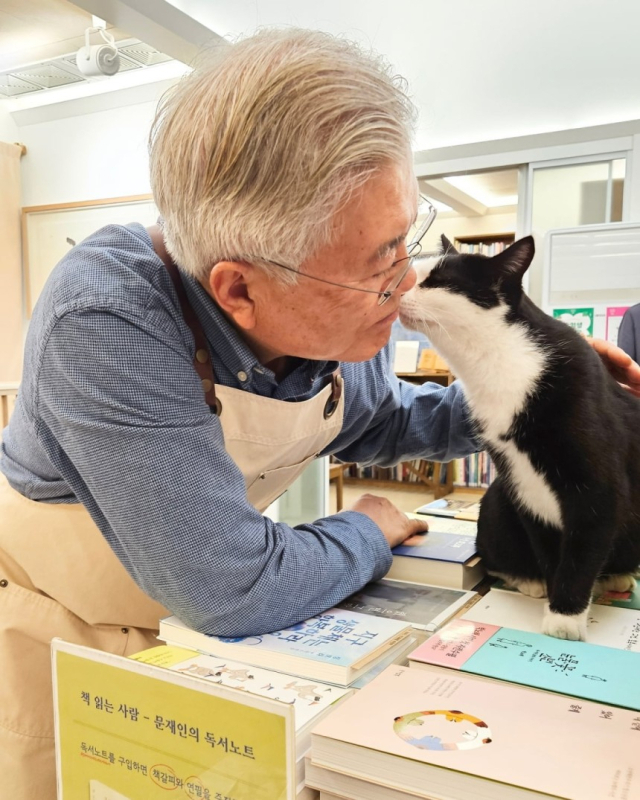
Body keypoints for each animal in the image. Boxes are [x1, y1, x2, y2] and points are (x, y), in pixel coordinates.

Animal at [400, 234, 640, 640]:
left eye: (438, 279)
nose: (395, 288)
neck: (498, 366)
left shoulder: (598, 487)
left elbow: (585, 541)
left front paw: (564, 618)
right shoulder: (521, 483)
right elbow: (547, 546)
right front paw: (552, 593)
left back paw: (614, 576)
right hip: (499, 497)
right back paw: (530, 580)